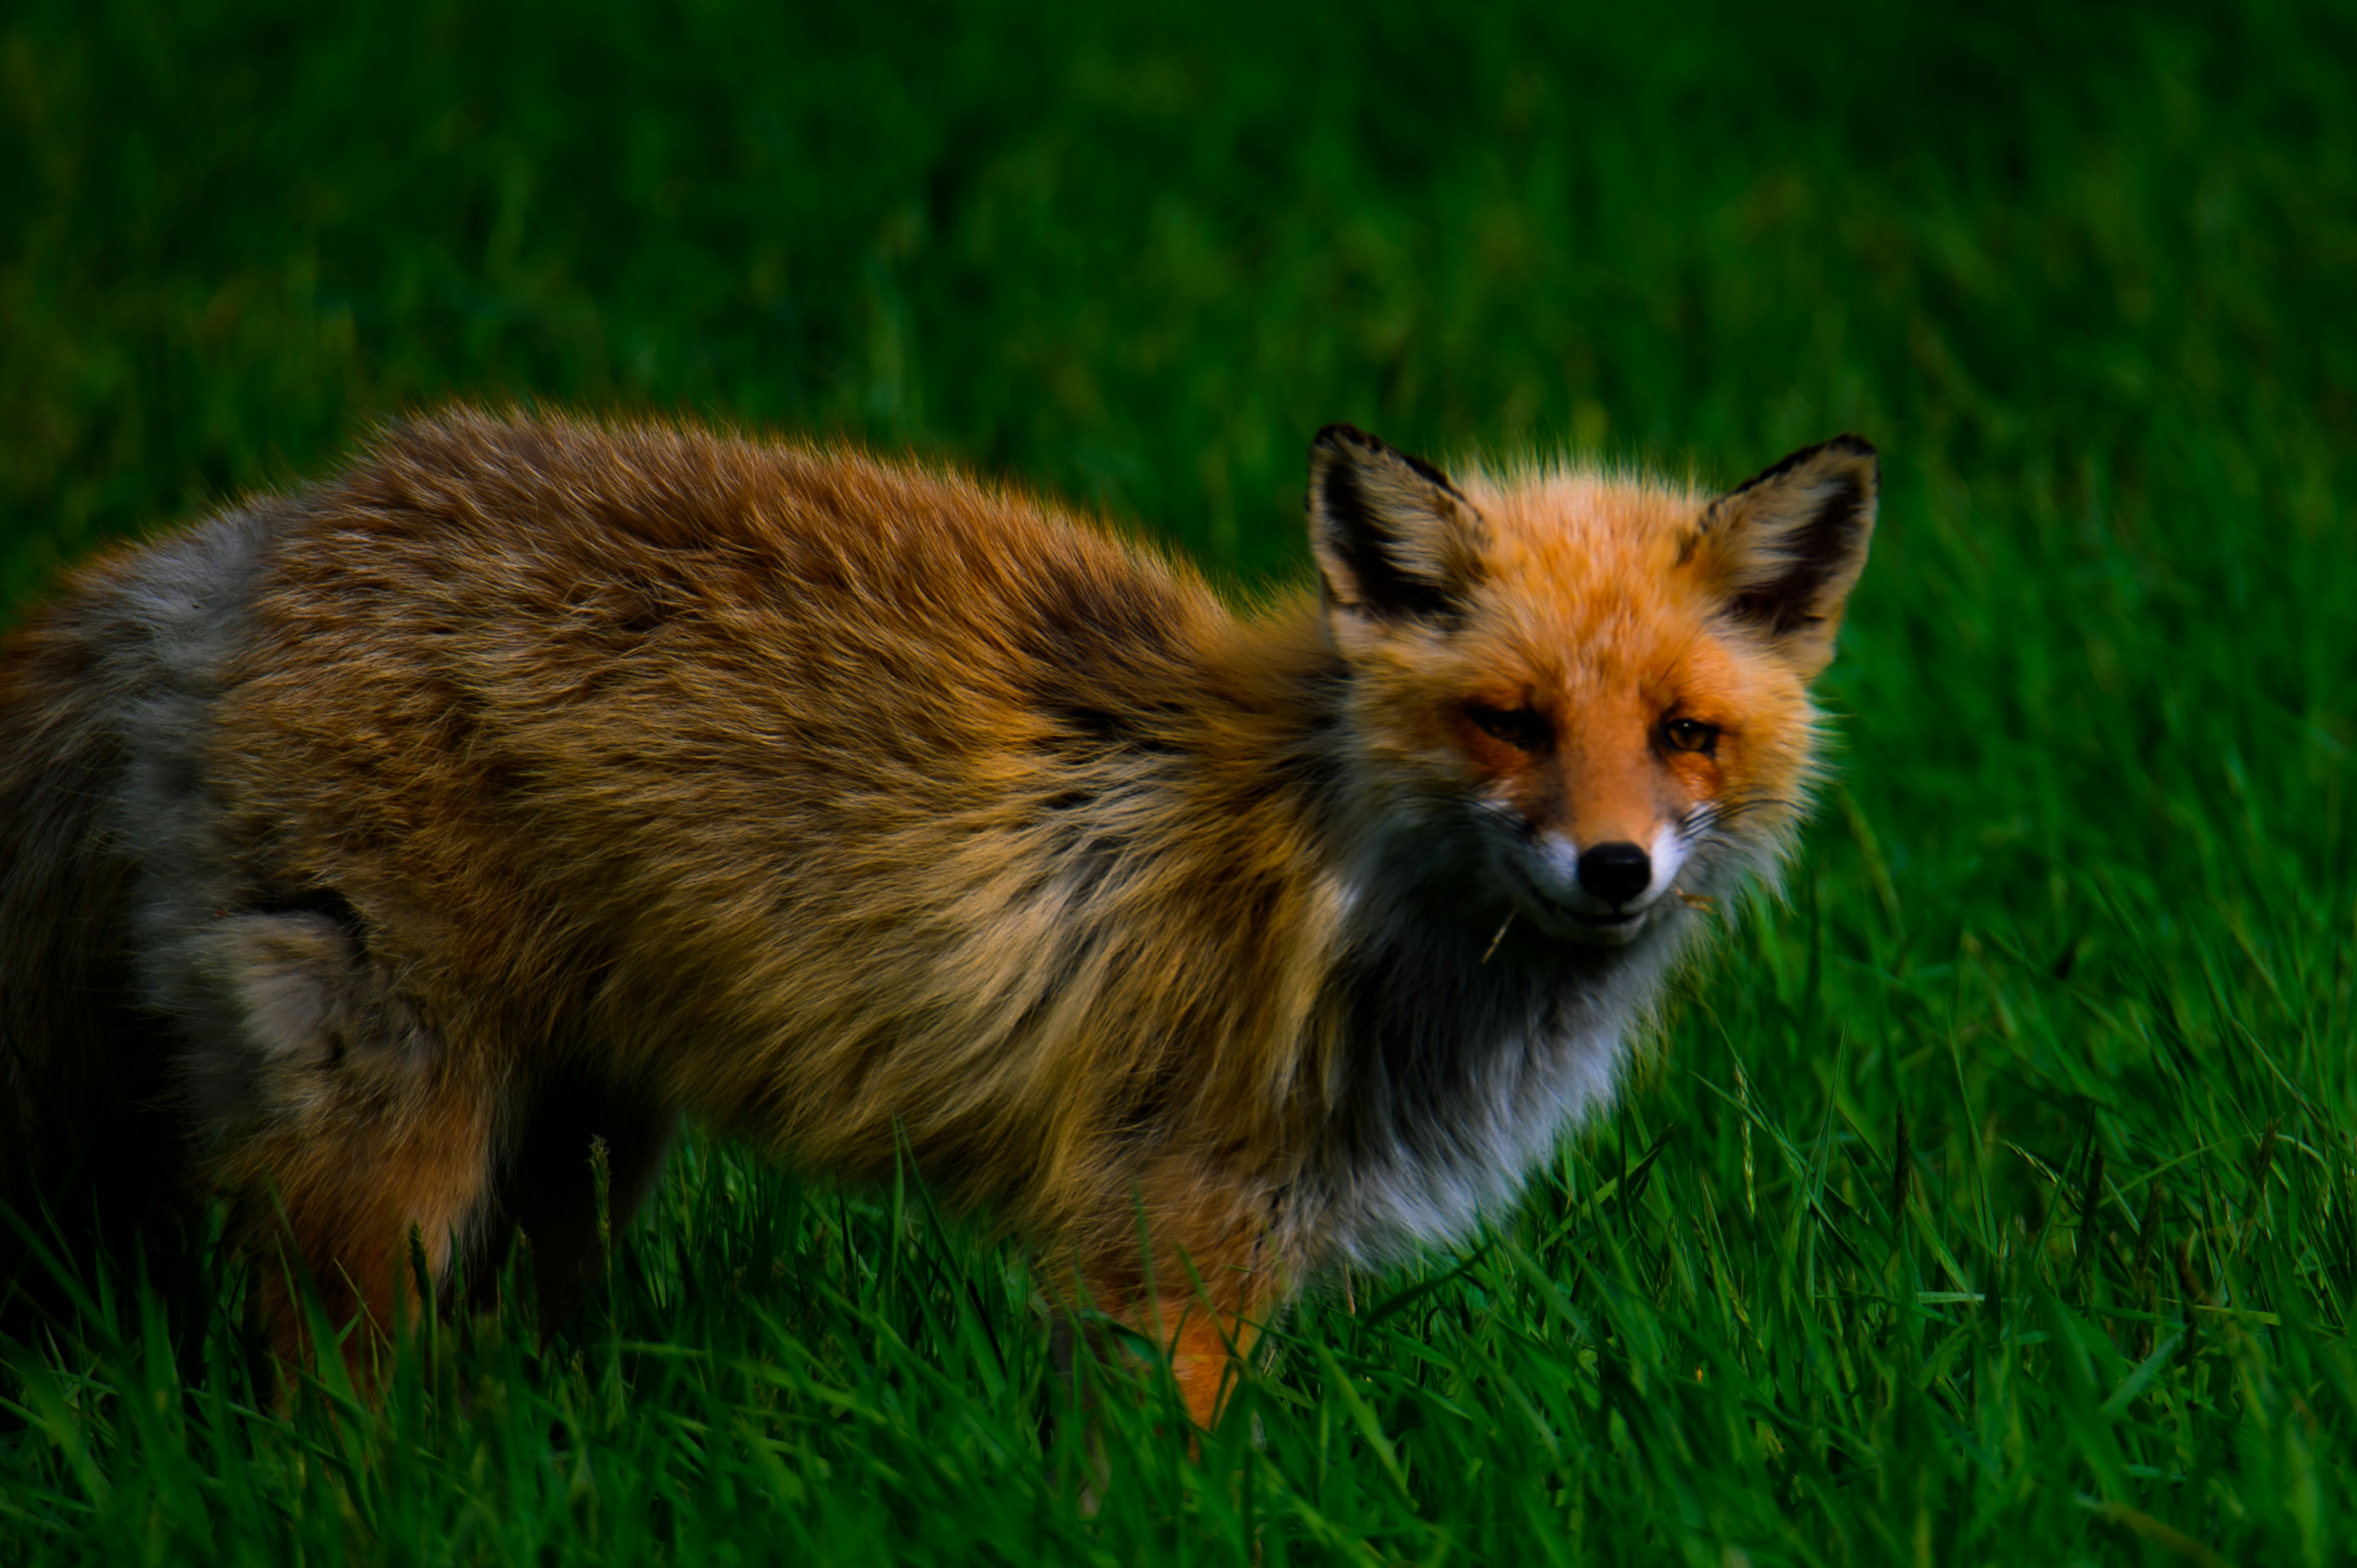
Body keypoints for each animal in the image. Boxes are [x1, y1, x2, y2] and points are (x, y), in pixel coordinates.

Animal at [0, 410, 1876, 1424]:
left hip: (578, 1146)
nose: (1613, 871)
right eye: (1510, 723)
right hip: (393, 1147)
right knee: (316, 1390)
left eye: (1684, 734)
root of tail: (269, 529)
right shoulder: (1161, 1243)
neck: (1334, 882)